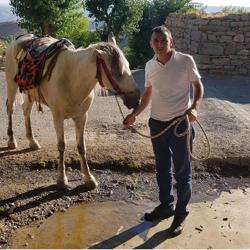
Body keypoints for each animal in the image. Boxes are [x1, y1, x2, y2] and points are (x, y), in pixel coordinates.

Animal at [5, 34, 141, 188]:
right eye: (117, 72)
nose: (137, 99)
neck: (72, 79)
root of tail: (20, 39)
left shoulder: (81, 117)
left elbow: (81, 147)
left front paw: (88, 178)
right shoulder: (57, 117)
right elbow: (61, 146)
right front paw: (61, 179)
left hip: (30, 93)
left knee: (26, 111)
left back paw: (32, 141)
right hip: (11, 86)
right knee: (10, 109)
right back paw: (11, 141)